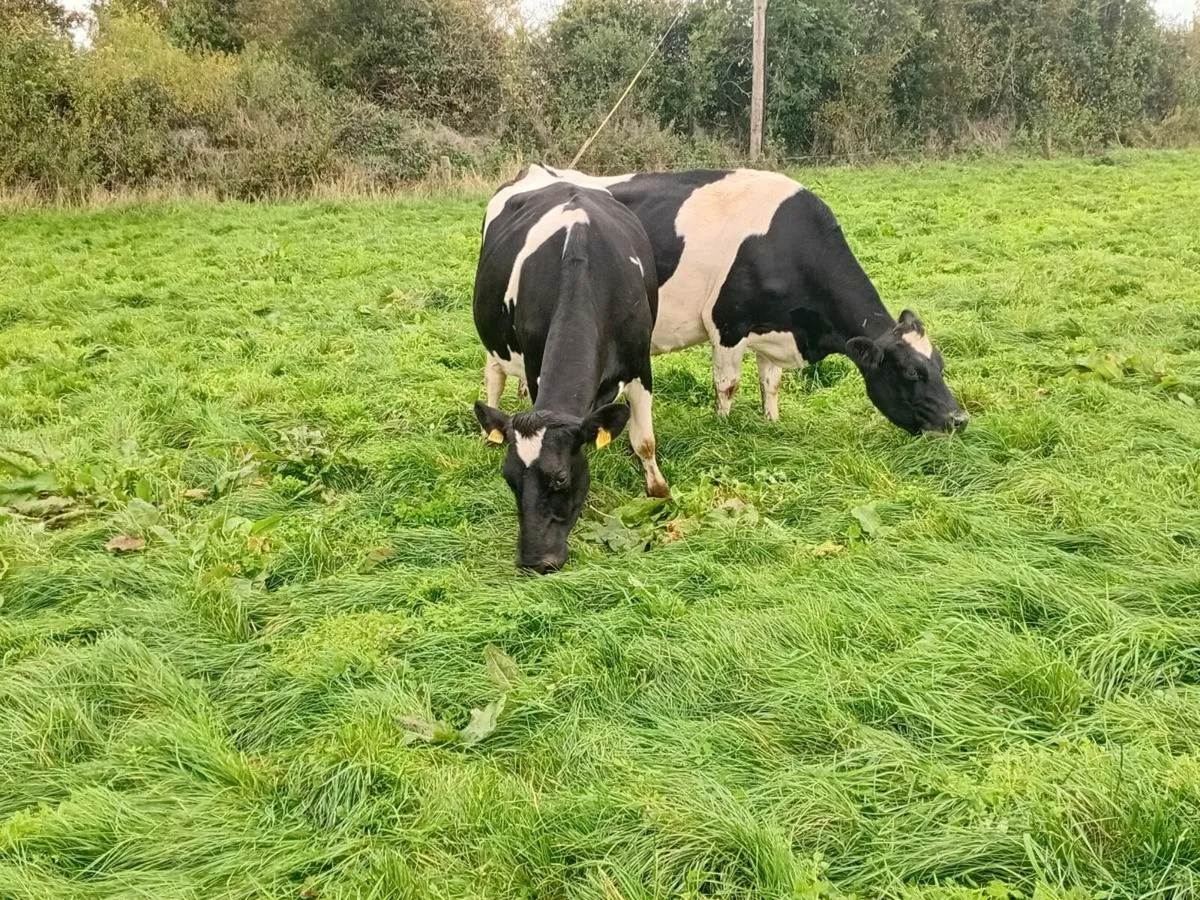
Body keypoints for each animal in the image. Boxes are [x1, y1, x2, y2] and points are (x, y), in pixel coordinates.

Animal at [474, 178, 668, 573]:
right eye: (509, 479)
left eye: (560, 479)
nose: (534, 561)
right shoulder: (536, 364)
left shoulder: (640, 365)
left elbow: (645, 440)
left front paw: (658, 491)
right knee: (494, 375)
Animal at [483, 165, 969, 435]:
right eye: (911, 372)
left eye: (941, 364)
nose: (959, 420)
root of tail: (535, 171)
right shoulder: (728, 325)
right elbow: (727, 385)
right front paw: (724, 426)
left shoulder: (772, 327)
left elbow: (770, 384)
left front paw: (772, 424)